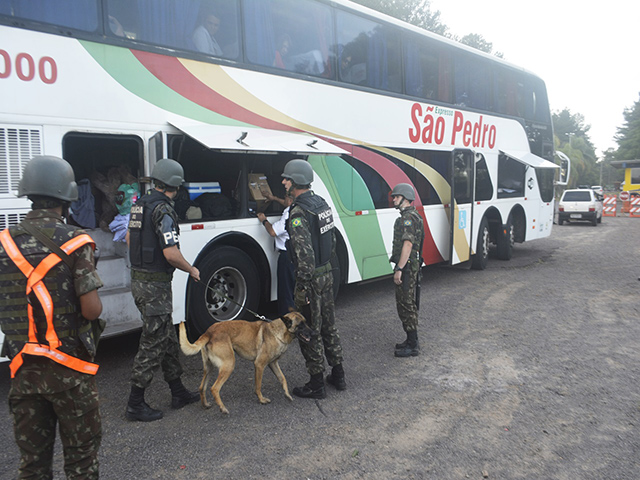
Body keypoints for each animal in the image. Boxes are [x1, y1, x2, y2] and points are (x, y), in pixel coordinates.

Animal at [179, 312, 312, 412]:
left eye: (306, 322)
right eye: (301, 325)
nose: (314, 333)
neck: (277, 332)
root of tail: (209, 332)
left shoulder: (273, 364)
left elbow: (282, 378)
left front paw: (287, 394)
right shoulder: (259, 365)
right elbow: (258, 386)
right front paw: (261, 400)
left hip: (209, 367)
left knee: (202, 387)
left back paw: (205, 405)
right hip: (229, 365)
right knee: (214, 388)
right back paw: (222, 408)